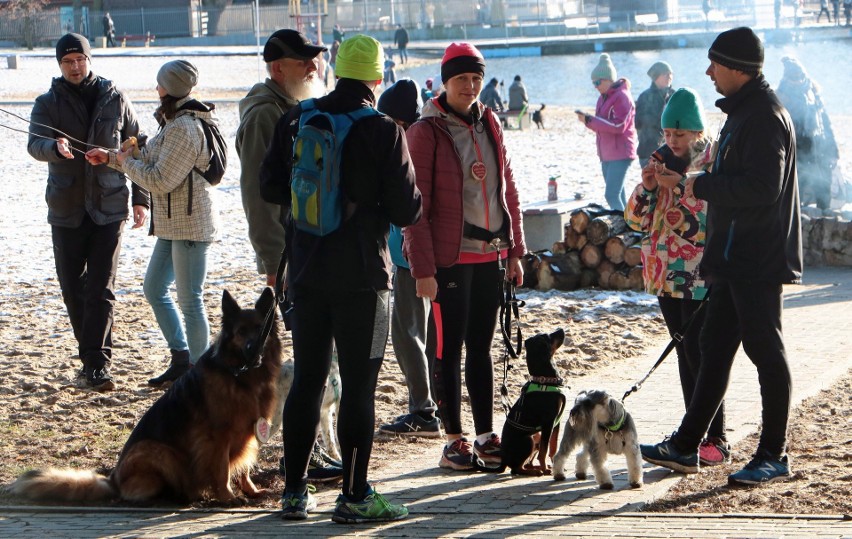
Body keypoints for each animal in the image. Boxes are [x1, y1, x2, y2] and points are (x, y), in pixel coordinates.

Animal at [10, 288, 282, 504]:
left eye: (260, 330)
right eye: (241, 331)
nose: (253, 350)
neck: (240, 375)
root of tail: (112, 480)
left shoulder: (247, 433)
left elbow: (243, 468)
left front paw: (252, 491)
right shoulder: (217, 437)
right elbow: (223, 469)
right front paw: (227, 497)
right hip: (157, 450)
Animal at [480, 330, 564, 476]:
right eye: (549, 337)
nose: (562, 330)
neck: (544, 380)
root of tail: (503, 460)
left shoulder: (555, 423)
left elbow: (553, 447)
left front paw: (555, 466)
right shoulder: (548, 423)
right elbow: (544, 451)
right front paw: (545, 469)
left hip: (536, 436)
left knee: (525, 464)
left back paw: (535, 468)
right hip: (528, 440)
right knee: (516, 469)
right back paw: (537, 471)